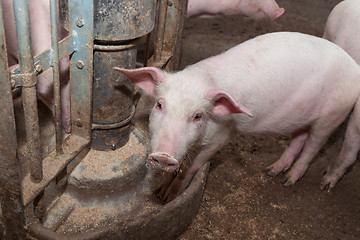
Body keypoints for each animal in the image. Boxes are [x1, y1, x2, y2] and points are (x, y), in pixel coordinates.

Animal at [116, 31, 360, 202]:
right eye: (159, 104)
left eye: (197, 116)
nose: (164, 156)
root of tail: (354, 67)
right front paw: (158, 192)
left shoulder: (222, 138)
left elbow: (191, 170)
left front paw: (169, 197)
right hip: (301, 117)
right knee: (298, 139)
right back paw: (272, 171)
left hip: (333, 114)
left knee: (313, 146)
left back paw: (290, 181)